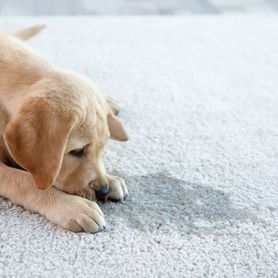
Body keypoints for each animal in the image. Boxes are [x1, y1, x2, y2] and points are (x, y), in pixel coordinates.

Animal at [0, 25, 129, 232]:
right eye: (77, 151)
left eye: (102, 149)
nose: (103, 190)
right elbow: (24, 180)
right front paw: (72, 206)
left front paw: (111, 178)